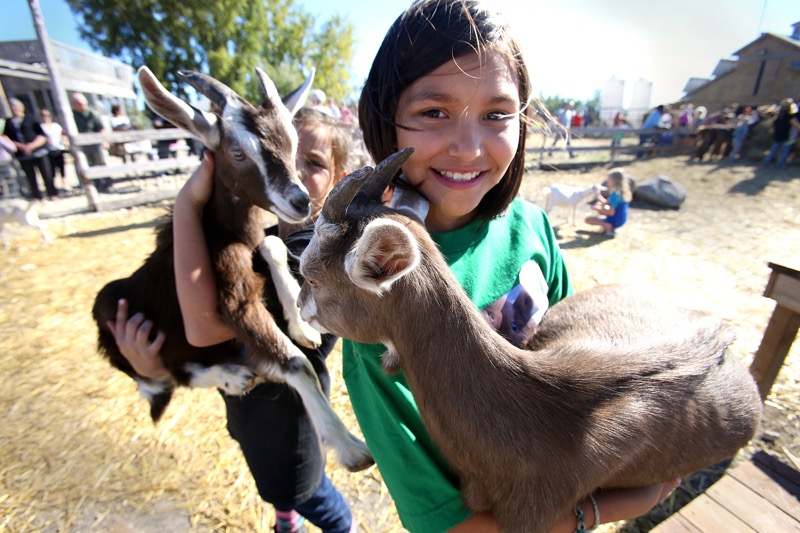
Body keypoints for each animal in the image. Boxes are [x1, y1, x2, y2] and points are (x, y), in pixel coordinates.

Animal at [91, 66, 373, 473]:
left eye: (292, 145)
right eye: (237, 153)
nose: (300, 201)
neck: (226, 233)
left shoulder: (257, 245)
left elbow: (272, 245)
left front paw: (301, 325)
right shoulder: (231, 303)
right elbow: (293, 362)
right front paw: (349, 446)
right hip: (112, 313)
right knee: (158, 379)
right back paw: (232, 374)